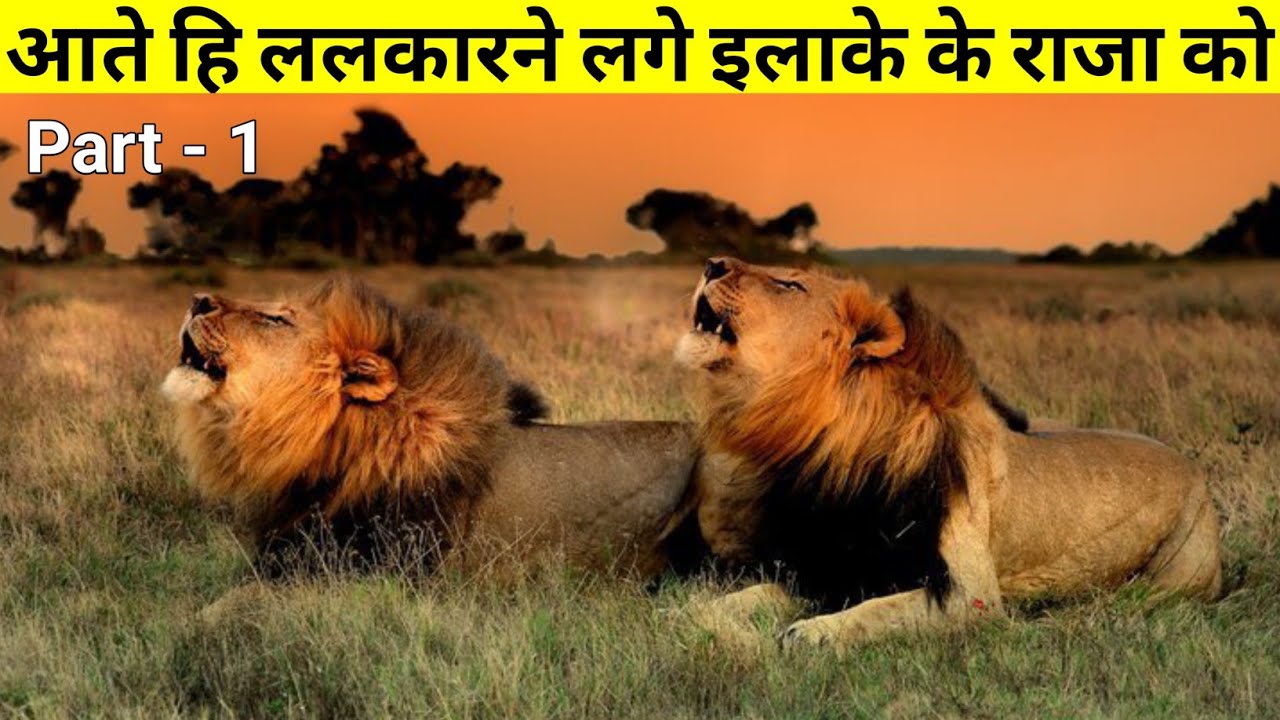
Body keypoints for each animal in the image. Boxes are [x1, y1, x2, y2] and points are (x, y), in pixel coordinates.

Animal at [676, 257, 1223, 649]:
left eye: (790, 285)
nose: (711, 263)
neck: (839, 446)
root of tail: (1194, 466)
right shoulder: (832, 561)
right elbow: (754, 593)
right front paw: (692, 612)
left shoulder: (970, 595)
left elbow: (880, 610)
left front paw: (814, 631)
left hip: (1176, 574)